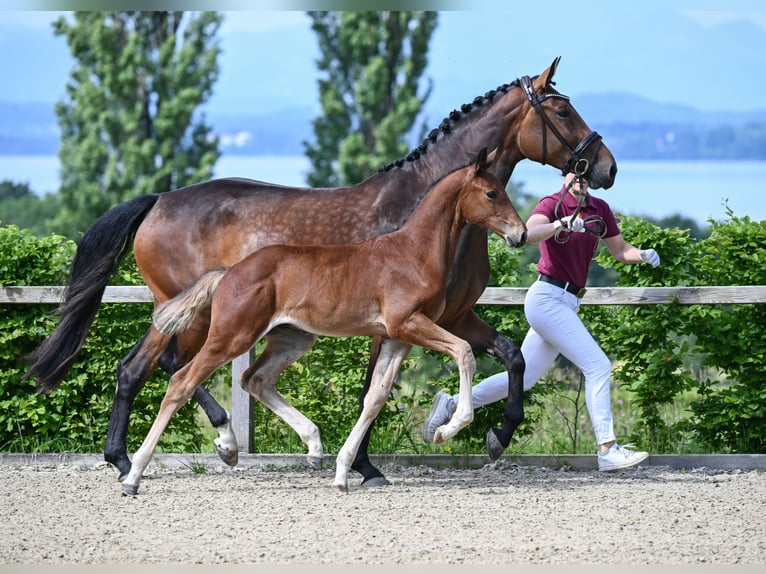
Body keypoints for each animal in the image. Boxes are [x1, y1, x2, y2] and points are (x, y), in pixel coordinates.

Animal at [124, 147, 526, 495]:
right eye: (491, 193)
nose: (520, 234)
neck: (413, 252)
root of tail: (228, 272)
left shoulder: (399, 337)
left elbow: (375, 398)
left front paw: (344, 473)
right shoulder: (409, 324)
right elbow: (464, 352)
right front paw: (446, 431)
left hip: (293, 338)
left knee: (255, 379)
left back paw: (313, 447)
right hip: (232, 335)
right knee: (181, 381)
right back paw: (133, 475)